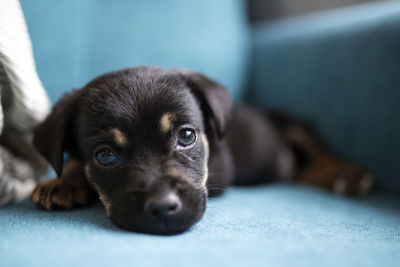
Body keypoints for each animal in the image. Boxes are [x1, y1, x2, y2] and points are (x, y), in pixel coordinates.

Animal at [30, 66, 372, 234]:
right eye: (104, 155)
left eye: (186, 136)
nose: (162, 208)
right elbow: (75, 160)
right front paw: (62, 182)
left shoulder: (221, 167)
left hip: (294, 126)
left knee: (320, 152)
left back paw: (349, 175)